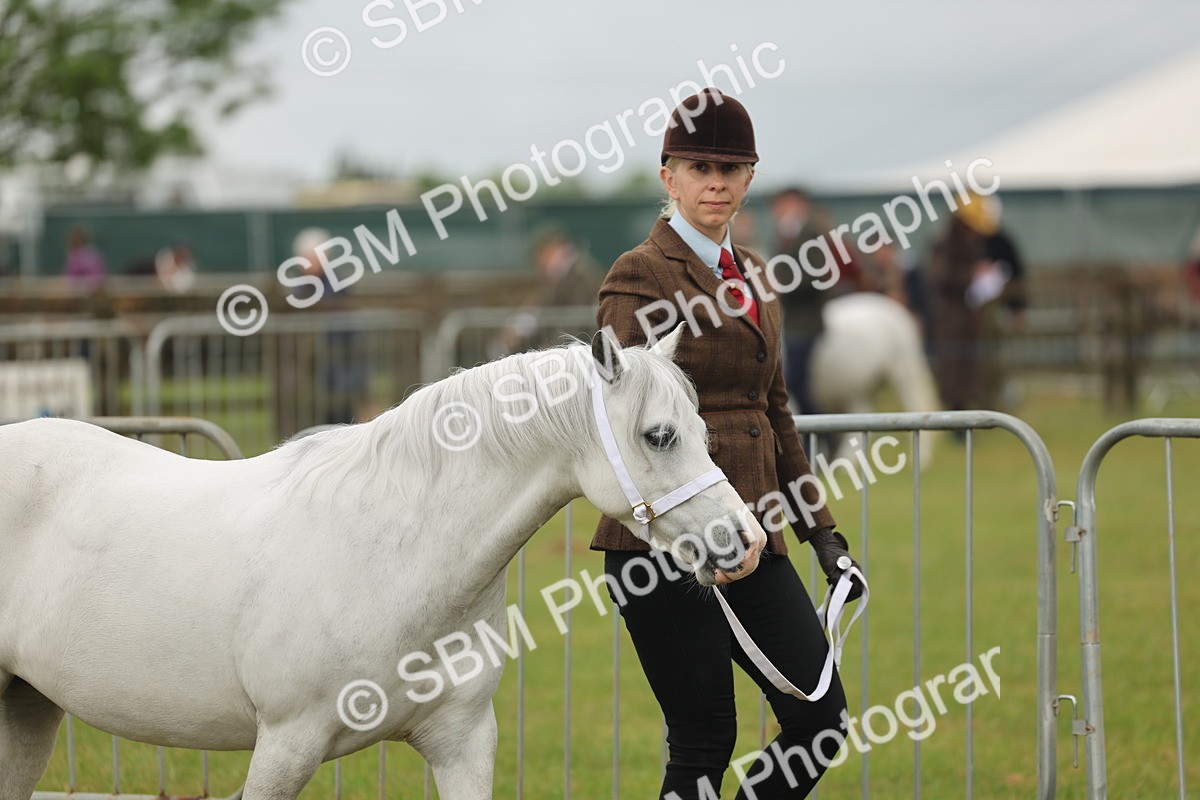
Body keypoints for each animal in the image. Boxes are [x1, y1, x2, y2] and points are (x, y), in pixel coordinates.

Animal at [0, 326, 766, 800]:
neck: (394, 557)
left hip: (28, 708)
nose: (746, 542)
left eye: (704, 430)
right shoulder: (285, 746)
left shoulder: (462, 743)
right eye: (659, 435)